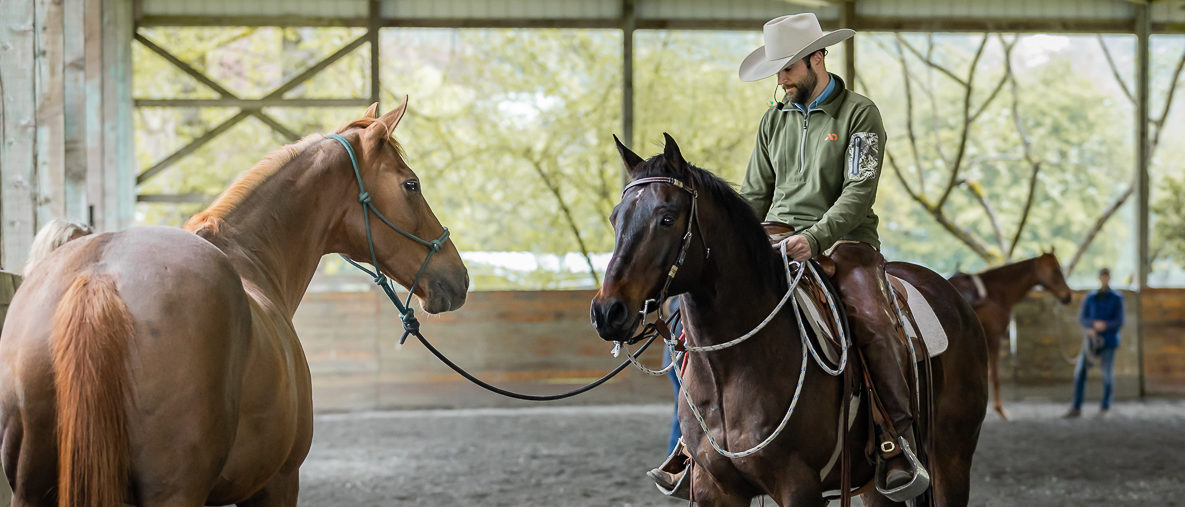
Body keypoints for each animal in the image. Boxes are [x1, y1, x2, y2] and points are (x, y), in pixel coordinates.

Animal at [0, 100, 469, 507]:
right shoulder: (278, 482)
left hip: (31, 491)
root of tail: (99, 275)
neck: (250, 255)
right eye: (411, 184)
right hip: (175, 492)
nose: (459, 277)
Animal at [592, 134, 990, 507]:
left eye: (667, 218)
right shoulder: (713, 487)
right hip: (873, 486)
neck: (732, 370)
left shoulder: (798, 485)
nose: (607, 312)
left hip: (951, 459)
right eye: (614, 217)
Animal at [943, 253, 1075, 419]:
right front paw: (999, 409)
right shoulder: (994, 339)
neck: (995, 293)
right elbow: (995, 376)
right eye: (1055, 270)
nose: (1067, 296)